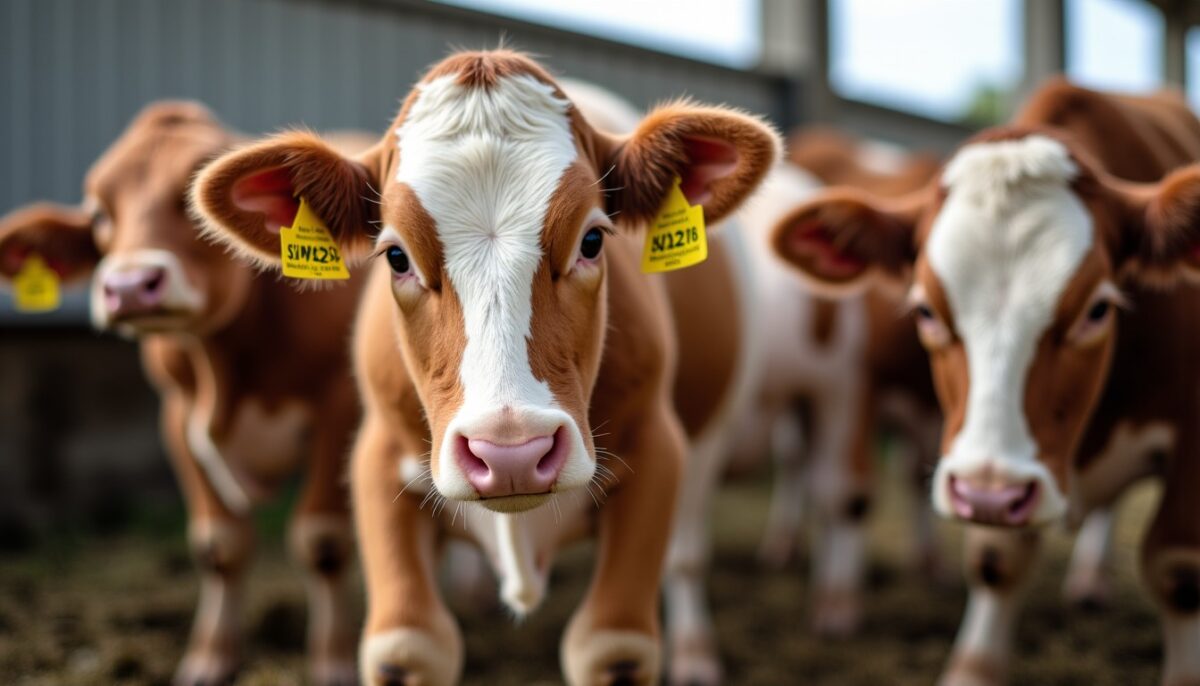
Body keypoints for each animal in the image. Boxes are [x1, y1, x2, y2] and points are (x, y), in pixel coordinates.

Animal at [0, 102, 369, 686]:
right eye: (100, 215)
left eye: (189, 200)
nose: (130, 286)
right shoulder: (176, 417)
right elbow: (220, 546)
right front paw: (210, 658)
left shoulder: (339, 407)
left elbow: (324, 542)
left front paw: (333, 662)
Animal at [190, 50, 778, 686]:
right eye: (395, 256)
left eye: (593, 240)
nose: (511, 453)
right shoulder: (375, 459)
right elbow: (408, 645)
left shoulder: (657, 449)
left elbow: (613, 645)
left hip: (711, 433)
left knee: (687, 556)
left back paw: (695, 653)